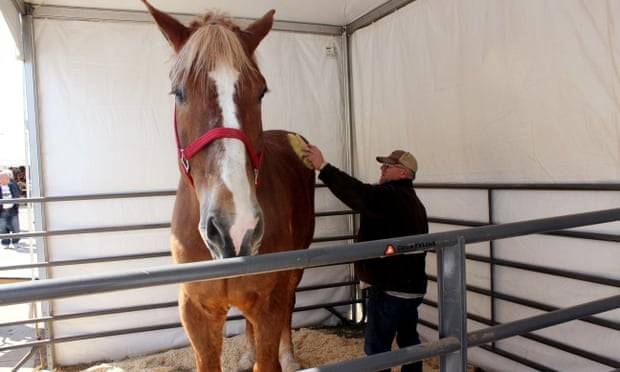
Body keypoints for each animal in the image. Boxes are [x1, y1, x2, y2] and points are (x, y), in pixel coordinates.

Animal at [140, 1, 314, 370]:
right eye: (179, 93)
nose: (236, 228)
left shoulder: (269, 305)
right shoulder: (196, 314)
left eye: (261, 91)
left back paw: (290, 356)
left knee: (291, 303)